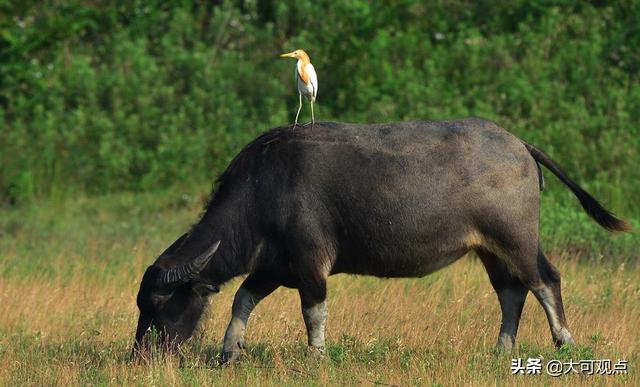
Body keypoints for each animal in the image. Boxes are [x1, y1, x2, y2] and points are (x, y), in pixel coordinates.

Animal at [131, 118, 632, 364]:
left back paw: (565, 342)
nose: (140, 356)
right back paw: (501, 350)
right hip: (489, 249)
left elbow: (313, 311)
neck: (262, 190)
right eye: (141, 305)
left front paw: (317, 357)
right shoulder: (274, 264)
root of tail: (518, 144)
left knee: (545, 280)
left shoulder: (310, 262)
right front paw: (228, 352)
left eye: (159, 304)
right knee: (511, 292)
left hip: (516, 237)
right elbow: (242, 299)